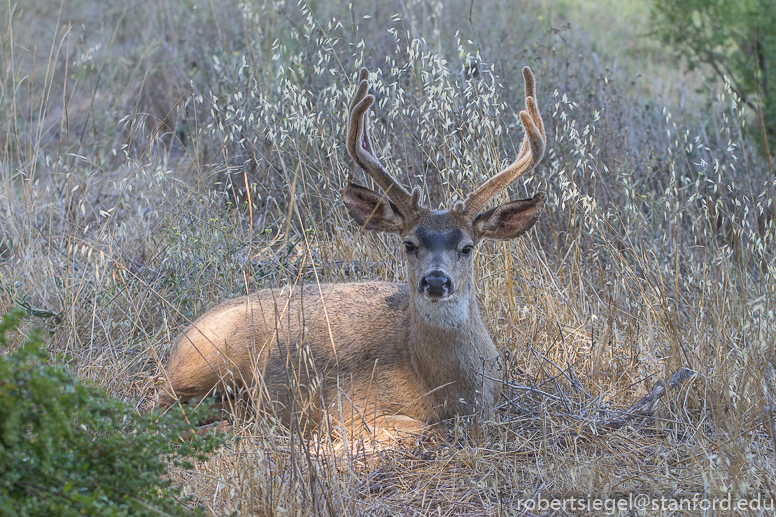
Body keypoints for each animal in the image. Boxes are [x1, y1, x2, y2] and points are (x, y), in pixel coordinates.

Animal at [153, 64, 544, 436]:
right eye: (409, 244)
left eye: (467, 247)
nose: (435, 281)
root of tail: (179, 340)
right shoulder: (348, 407)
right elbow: (420, 428)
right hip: (208, 363)